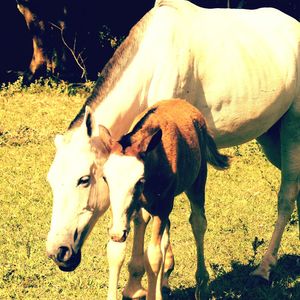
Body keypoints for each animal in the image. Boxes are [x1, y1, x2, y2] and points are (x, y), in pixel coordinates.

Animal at [45, 1, 298, 298]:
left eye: (84, 179)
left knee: (286, 197)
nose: (58, 251)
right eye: (51, 181)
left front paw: (152, 280)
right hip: (270, 137)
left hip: (292, 127)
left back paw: (264, 268)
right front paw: (142, 282)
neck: (154, 63)